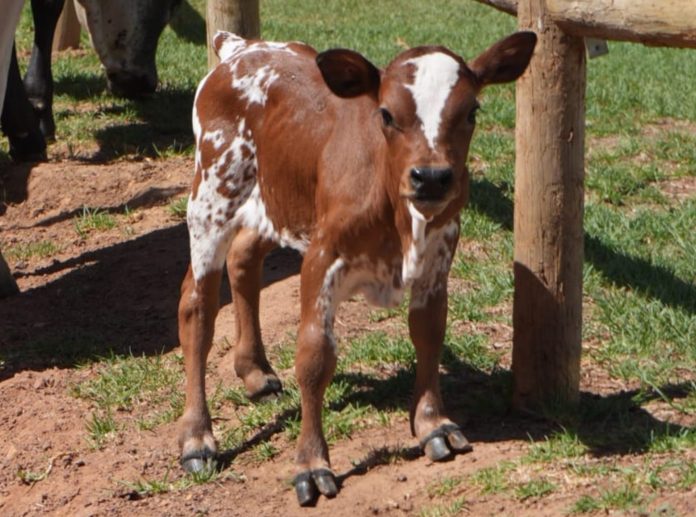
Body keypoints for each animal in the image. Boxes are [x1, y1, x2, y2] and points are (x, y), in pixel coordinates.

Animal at [177, 30, 536, 505]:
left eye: (471, 111)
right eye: (386, 114)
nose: (432, 177)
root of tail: (241, 46)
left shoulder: (438, 256)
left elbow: (429, 333)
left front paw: (432, 424)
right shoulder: (321, 258)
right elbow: (315, 357)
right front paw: (311, 464)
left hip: (278, 201)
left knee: (243, 260)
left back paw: (254, 371)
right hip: (212, 196)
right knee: (196, 306)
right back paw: (197, 438)